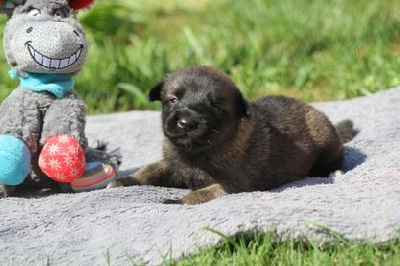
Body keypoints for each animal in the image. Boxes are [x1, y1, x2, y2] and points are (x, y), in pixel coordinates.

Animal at [107, 65, 354, 205]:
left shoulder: (232, 185)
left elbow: (201, 194)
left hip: (325, 139)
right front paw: (125, 180)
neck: (196, 153)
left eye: (215, 107)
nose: (186, 123)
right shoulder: (172, 165)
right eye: (173, 100)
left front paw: (179, 201)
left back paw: (333, 171)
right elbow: (150, 170)